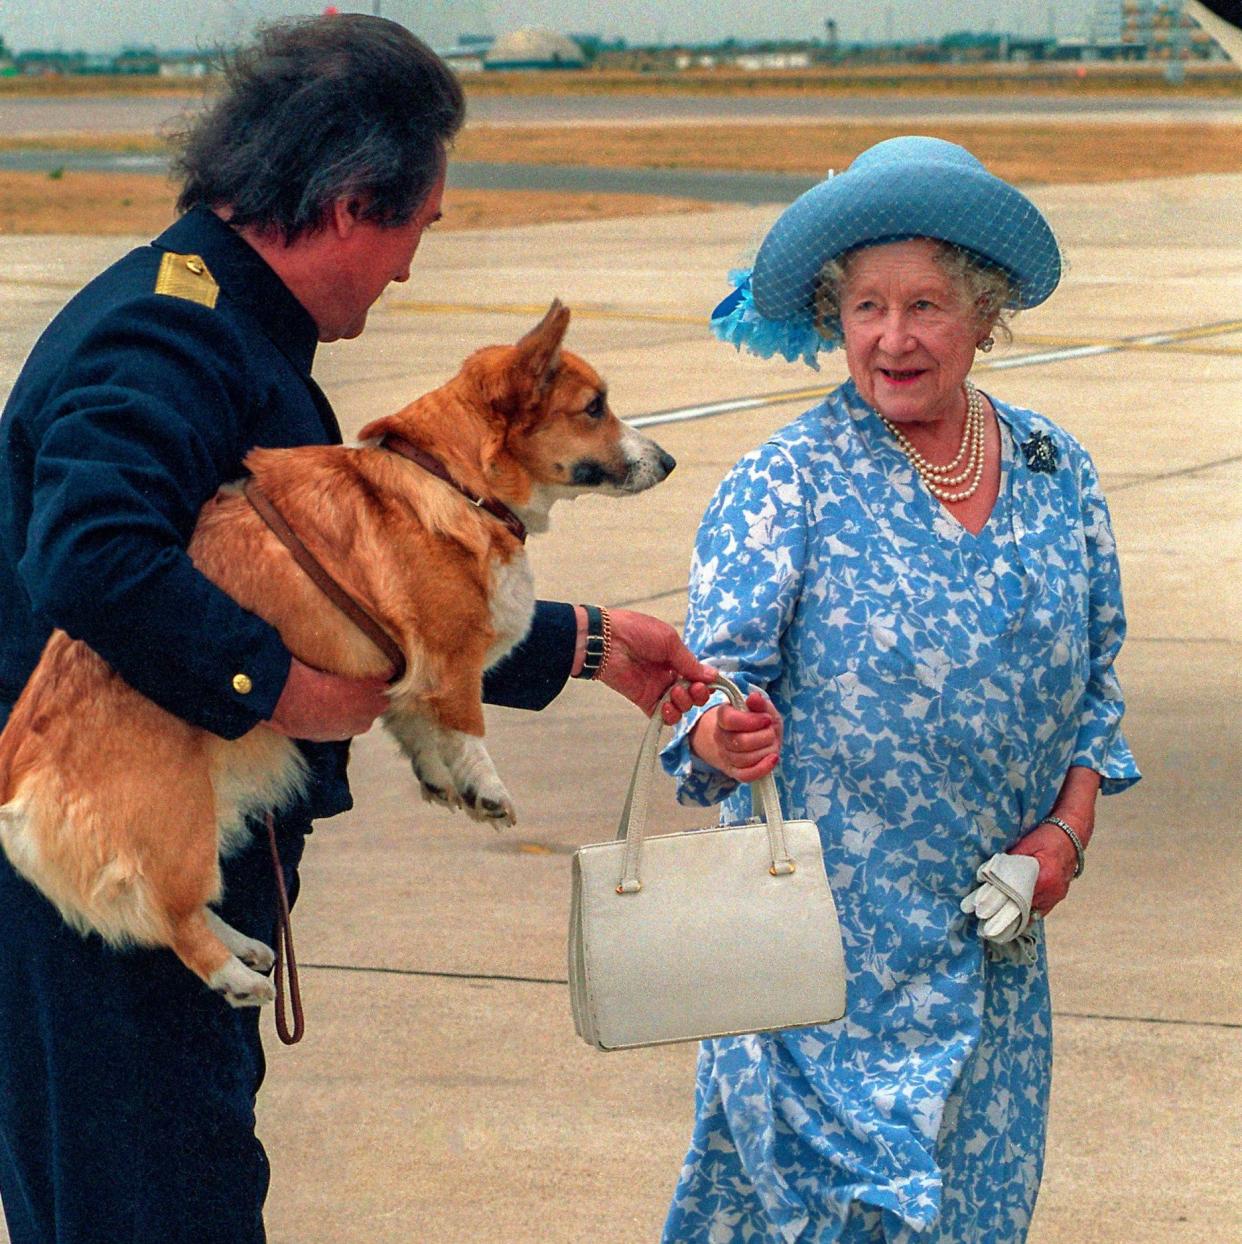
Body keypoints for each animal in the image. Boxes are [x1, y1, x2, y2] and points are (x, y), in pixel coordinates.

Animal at [0, 301, 677, 1010]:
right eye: (594, 407)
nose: (669, 461)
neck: (454, 478)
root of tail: (15, 778)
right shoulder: (447, 657)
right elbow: (466, 726)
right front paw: (487, 789)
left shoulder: (408, 672)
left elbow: (418, 726)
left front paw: (443, 781)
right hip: (177, 820)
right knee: (168, 914)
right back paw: (235, 976)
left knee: (166, 903)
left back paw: (242, 945)